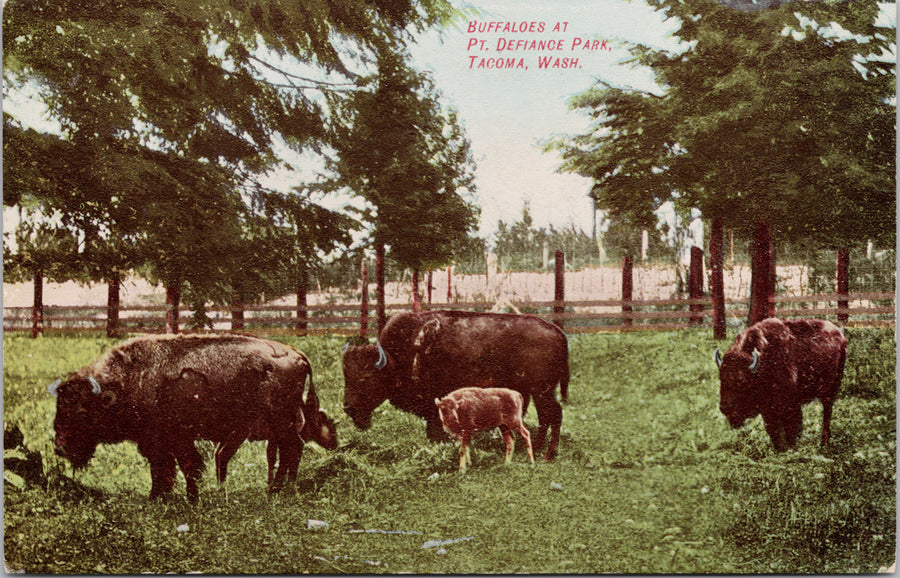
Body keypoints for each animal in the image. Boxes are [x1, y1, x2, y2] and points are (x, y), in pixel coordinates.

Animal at [50, 332, 338, 500]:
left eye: (82, 412)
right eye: (59, 410)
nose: (60, 447)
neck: (128, 381)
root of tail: (298, 354)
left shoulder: (172, 439)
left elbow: (182, 466)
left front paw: (180, 497)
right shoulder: (163, 442)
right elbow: (168, 468)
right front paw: (165, 496)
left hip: (282, 422)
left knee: (293, 449)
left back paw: (280, 490)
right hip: (280, 426)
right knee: (288, 451)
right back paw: (277, 488)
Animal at [342, 310, 568, 460]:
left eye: (365, 377)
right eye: (346, 375)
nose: (348, 408)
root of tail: (557, 331)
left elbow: (435, 429)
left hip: (542, 390)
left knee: (553, 414)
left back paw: (548, 453)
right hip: (538, 391)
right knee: (546, 416)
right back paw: (538, 448)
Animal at [712, 318, 848, 448]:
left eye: (742, 381)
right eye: (721, 378)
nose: (724, 408)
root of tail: (840, 334)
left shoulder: (790, 405)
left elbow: (791, 429)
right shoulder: (767, 410)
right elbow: (774, 431)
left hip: (830, 390)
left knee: (827, 413)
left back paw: (824, 443)